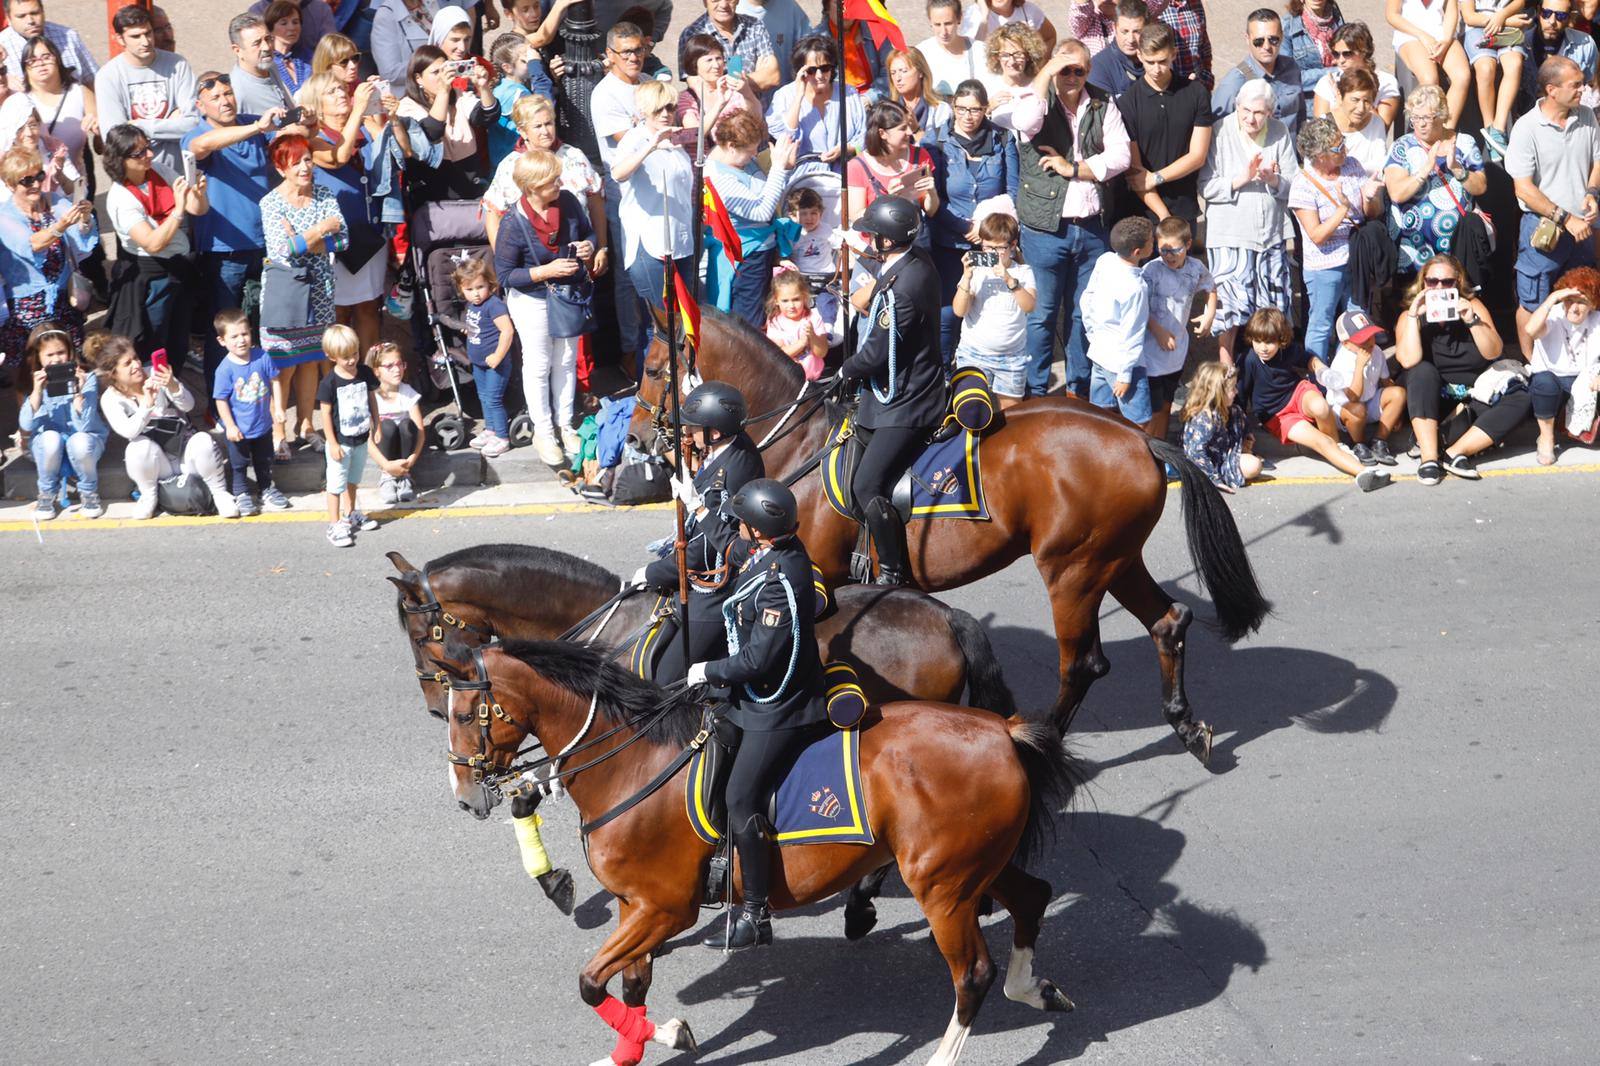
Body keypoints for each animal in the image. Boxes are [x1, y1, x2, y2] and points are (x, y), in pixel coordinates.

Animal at [432, 633, 1081, 1056]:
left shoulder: (665, 908)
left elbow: (592, 983)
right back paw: (1036, 989)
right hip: (978, 868)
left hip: (942, 886)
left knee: (972, 974)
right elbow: (631, 985)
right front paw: (639, 1047)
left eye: (464, 714)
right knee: (1032, 899)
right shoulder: (633, 905)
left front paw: (668, 1033)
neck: (631, 762)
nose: (465, 796)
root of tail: (1001, 730)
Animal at [630, 307, 1267, 755]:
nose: (635, 440)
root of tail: (1141, 437)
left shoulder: (812, 585)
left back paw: (1044, 742)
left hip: (1073, 570)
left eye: (655, 370)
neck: (800, 450)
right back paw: (1187, 726)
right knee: (1169, 621)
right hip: (1114, 558)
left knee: (1084, 663)